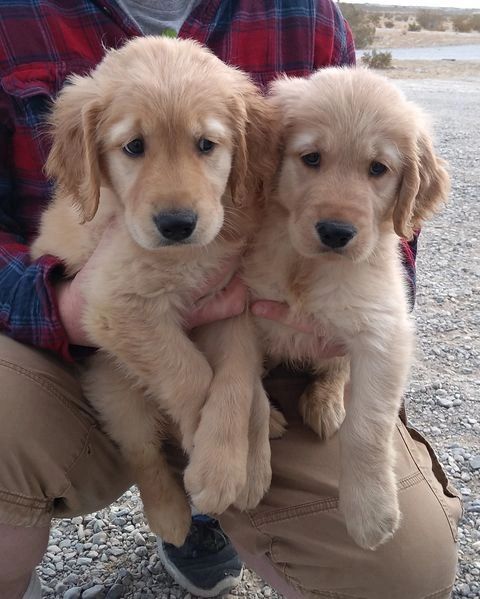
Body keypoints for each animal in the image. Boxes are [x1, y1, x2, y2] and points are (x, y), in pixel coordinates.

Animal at [31, 35, 276, 548]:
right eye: (134, 147)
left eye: (206, 145)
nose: (177, 224)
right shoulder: (115, 306)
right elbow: (192, 374)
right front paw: (208, 461)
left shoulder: (233, 303)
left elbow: (237, 382)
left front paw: (232, 463)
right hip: (112, 384)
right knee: (142, 451)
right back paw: (170, 515)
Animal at [244, 68, 450, 552]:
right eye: (311, 158)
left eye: (378, 169)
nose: (336, 232)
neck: (307, 266)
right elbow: (247, 398)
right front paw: (251, 469)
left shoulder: (383, 331)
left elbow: (367, 427)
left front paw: (370, 511)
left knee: (336, 372)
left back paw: (325, 402)